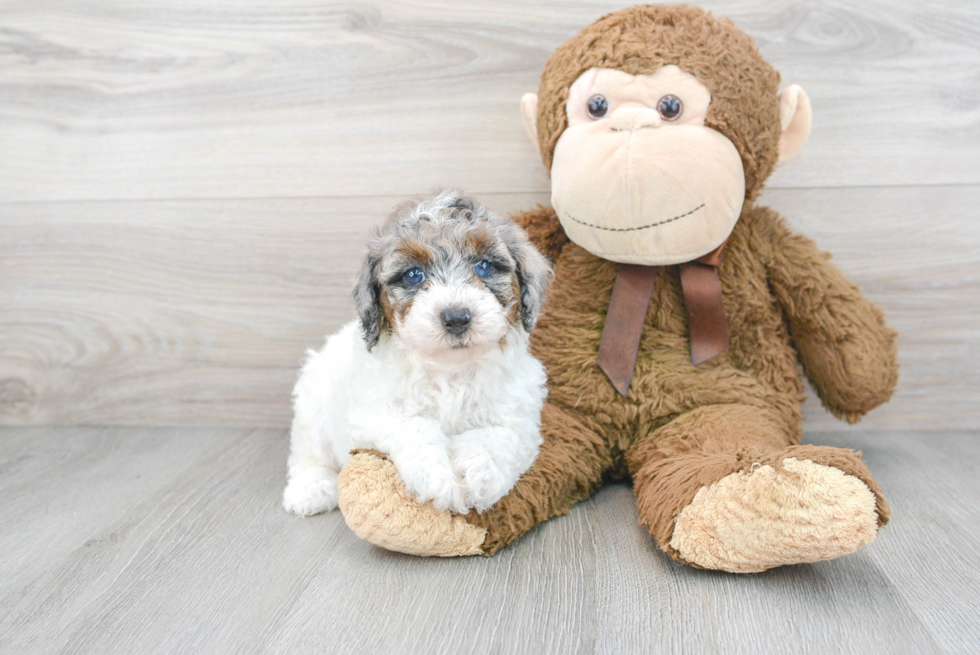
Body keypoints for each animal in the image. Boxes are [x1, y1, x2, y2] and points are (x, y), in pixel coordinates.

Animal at [284, 190, 552, 516]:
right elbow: (414, 426)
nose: (456, 317)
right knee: (308, 450)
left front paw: (479, 473)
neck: (450, 369)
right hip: (312, 400)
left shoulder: (520, 416)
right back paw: (311, 487)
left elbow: (499, 436)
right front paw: (438, 478)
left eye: (484, 266)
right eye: (413, 275)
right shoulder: (372, 413)